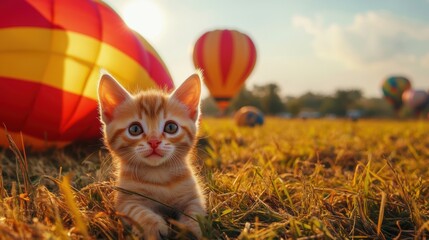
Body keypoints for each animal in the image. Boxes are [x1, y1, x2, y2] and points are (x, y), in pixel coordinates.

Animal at [97, 73, 206, 240]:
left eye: (171, 127)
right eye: (135, 129)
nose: (154, 141)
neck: (159, 174)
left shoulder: (194, 196)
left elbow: (195, 212)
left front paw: (190, 229)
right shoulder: (125, 200)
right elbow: (137, 211)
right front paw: (153, 226)